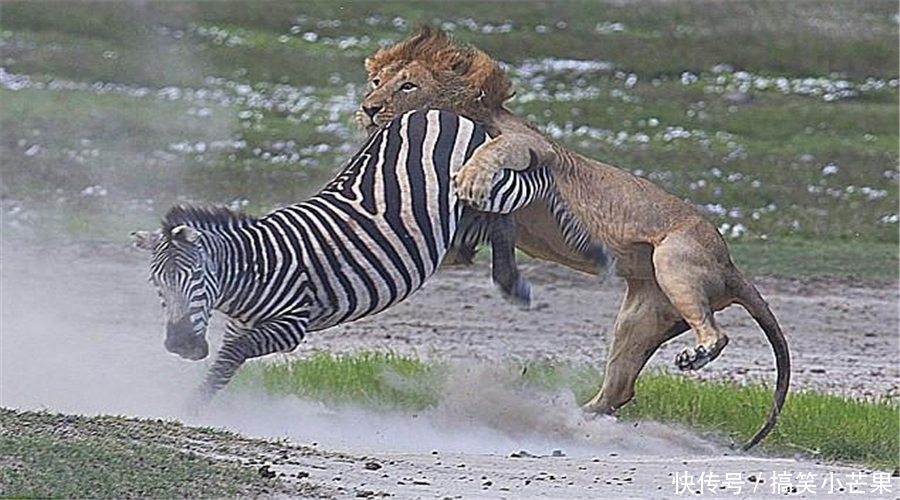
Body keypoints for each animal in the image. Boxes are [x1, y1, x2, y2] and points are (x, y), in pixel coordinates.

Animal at [132, 109, 604, 398]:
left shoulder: (291, 325)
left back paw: (593, 250)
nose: (180, 346)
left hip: (484, 182)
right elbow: (223, 367)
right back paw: (511, 282)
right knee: (498, 222)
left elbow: (230, 358)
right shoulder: (239, 326)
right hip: (451, 209)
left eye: (196, 279)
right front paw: (196, 403)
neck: (254, 268)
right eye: (157, 285)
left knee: (539, 178)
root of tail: (432, 111)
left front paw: (189, 407)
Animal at [358, 26, 788, 450]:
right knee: (619, 390)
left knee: (717, 333)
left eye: (408, 85)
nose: (369, 108)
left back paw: (693, 357)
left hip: (675, 261)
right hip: (641, 316)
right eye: (377, 83)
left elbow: (494, 149)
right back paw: (569, 419)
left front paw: (471, 179)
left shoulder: (532, 146)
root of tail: (731, 266)